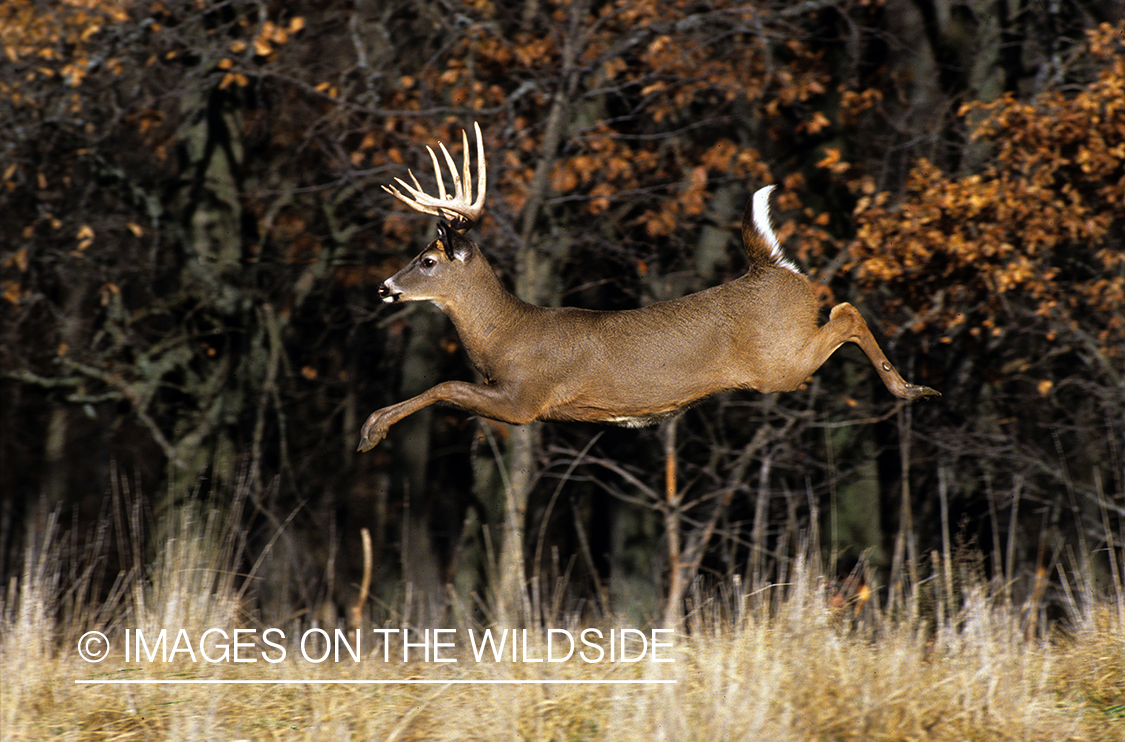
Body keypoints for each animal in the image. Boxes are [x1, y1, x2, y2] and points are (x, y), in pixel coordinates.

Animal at [357, 123, 938, 453]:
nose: (384, 287)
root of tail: (773, 268)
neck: (506, 337)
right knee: (844, 309)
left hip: (779, 363)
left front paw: (371, 431)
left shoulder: (526, 400)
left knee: (845, 311)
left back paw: (912, 389)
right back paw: (914, 389)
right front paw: (372, 427)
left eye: (427, 260)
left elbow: (445, 387)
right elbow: (447, 388)